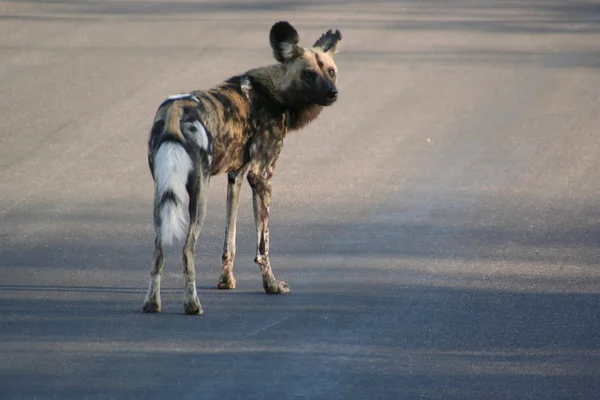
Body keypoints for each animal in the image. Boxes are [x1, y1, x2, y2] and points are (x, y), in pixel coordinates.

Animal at [141, 21, 344, 316]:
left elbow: (230, 239)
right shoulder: (262, 176)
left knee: (158, 249)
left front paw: (226, 281)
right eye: (308, 74)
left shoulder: (236, 176)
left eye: (331, 71)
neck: (274, 93)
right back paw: (192, 304)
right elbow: (263, 245)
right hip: (199, 198)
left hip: (163, 195)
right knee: (187, 249)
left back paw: (152, 304)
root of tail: (176, 110)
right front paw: (272, 285)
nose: (332, 93)